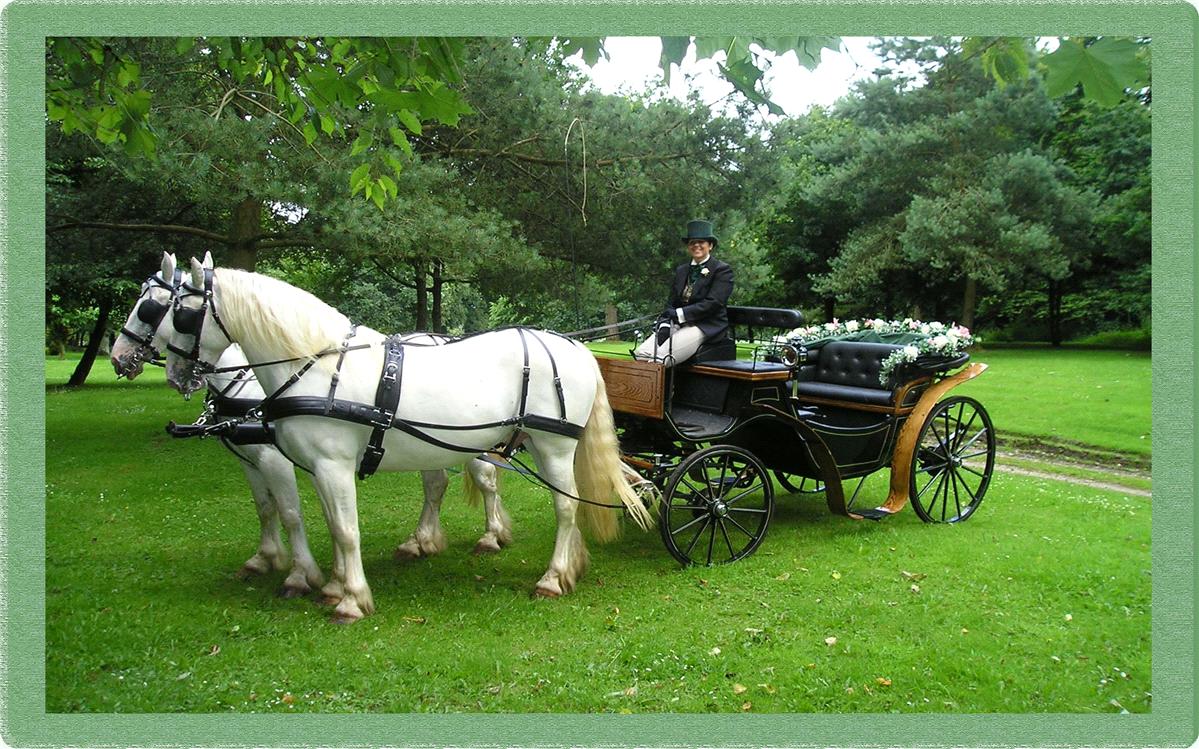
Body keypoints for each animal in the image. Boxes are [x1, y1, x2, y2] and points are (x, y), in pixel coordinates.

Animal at [113, 254, 515, 599]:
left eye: (155, 309)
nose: (119, 357)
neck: (308, 367)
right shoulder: (255, 459)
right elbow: (267, 508)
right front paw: (266, 559)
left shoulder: (278, 459)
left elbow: (292, 514)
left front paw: (300, 575)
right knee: (436, 485)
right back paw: (420, 541)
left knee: (485, 481)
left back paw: (491, 535)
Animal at [164, 254, 652, 623]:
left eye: (174, 312)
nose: (174, 374)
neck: (318, 364)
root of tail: (575, 348)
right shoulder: (316, 467)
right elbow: (323, 521)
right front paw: (331, 584)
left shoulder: (324, 463)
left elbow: (341, 529)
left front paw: (348, 599)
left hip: (552, 445)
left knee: (566, 507)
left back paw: (553, 576)